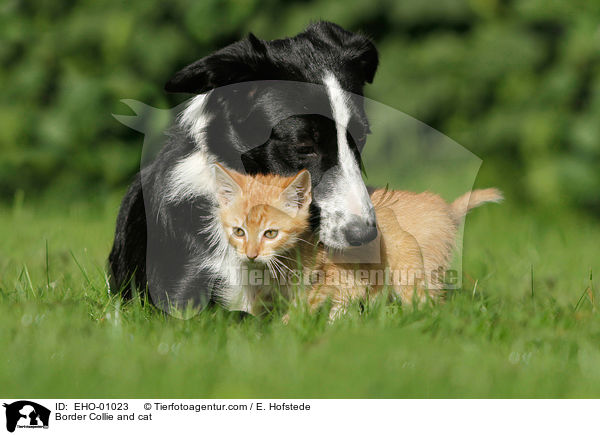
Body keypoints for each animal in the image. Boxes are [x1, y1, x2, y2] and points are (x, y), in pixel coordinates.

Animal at [211, 165, 502, 318]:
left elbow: (297, 314)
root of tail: (445, 209)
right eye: (239, 232)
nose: (250, 255)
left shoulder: (331, 282)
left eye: (270, 233)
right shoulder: (258, 295)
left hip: (415, 278)